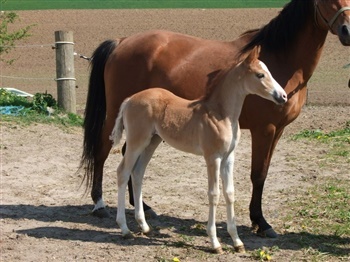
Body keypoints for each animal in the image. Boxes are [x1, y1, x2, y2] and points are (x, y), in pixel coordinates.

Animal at [110, 46, 288, 253]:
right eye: (260, 74)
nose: (283, 96)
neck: (221, 114)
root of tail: (130, 99)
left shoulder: (229, 158)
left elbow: (229, 193)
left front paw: (237, 242)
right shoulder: (213, 158)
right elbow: (214, 194)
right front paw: (215, 243)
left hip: (152, 142)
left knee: (137, 173)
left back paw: (144, 226)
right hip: (136, 141)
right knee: (123, 172)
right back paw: (124, 229)